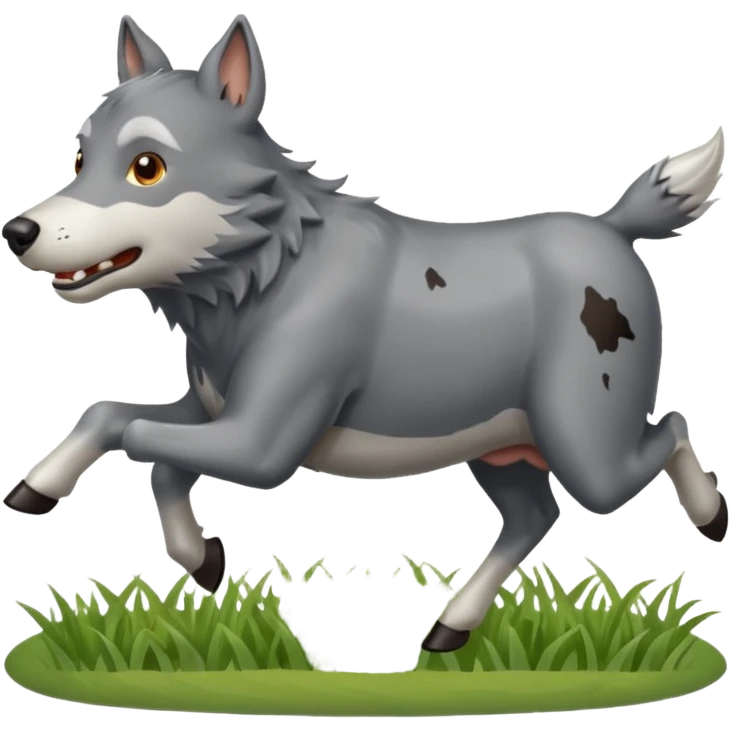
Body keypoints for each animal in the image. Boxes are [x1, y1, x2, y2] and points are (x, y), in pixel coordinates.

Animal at [2, 13, 727, 654]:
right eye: (80, 155)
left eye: (147, 165)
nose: (18, 230)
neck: (266, 269)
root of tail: (613, 226)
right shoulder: (211, 410)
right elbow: (117, 420)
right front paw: (187, 552)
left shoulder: (260, 446)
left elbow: (142, 441)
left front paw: (189, 551)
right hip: (500, 445)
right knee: (533, 516)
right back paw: (448, 631)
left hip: (585, 440)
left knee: (670, 430)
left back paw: (712, 515)